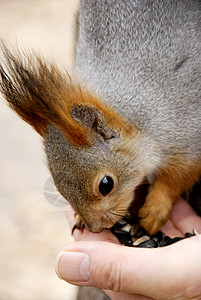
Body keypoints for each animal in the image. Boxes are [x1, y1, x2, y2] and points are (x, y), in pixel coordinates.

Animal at [0, 0, 201, 236]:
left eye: (106, 185)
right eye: (59, 187)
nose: (96, 229)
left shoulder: (186, 131)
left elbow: (178, 177)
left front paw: (155, 209)